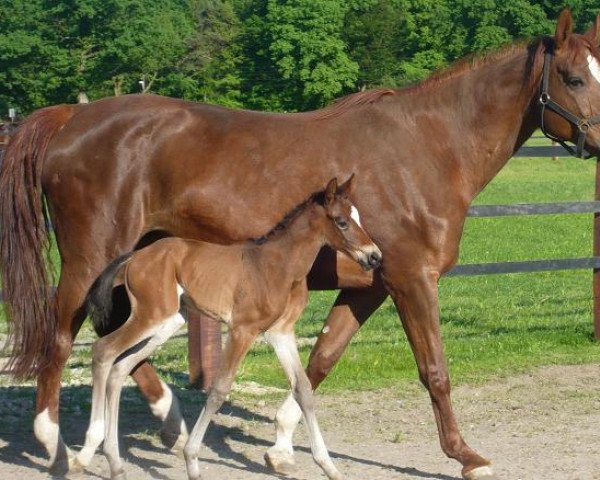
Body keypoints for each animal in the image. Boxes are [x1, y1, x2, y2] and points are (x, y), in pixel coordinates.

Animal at [74, 178, 380, 480]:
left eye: (358, 216)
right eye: (341, 221)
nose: (374, 256)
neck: (278, 266)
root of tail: (135, 256)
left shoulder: (281, 333)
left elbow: (302, 389)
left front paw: (329, 467)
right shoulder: (242, 330)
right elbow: (219, 389)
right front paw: (192, 461)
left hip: (168, 322)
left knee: (120, 367)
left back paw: (115, 463)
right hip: (151, 316)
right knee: (103, 350)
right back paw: (91, 450)